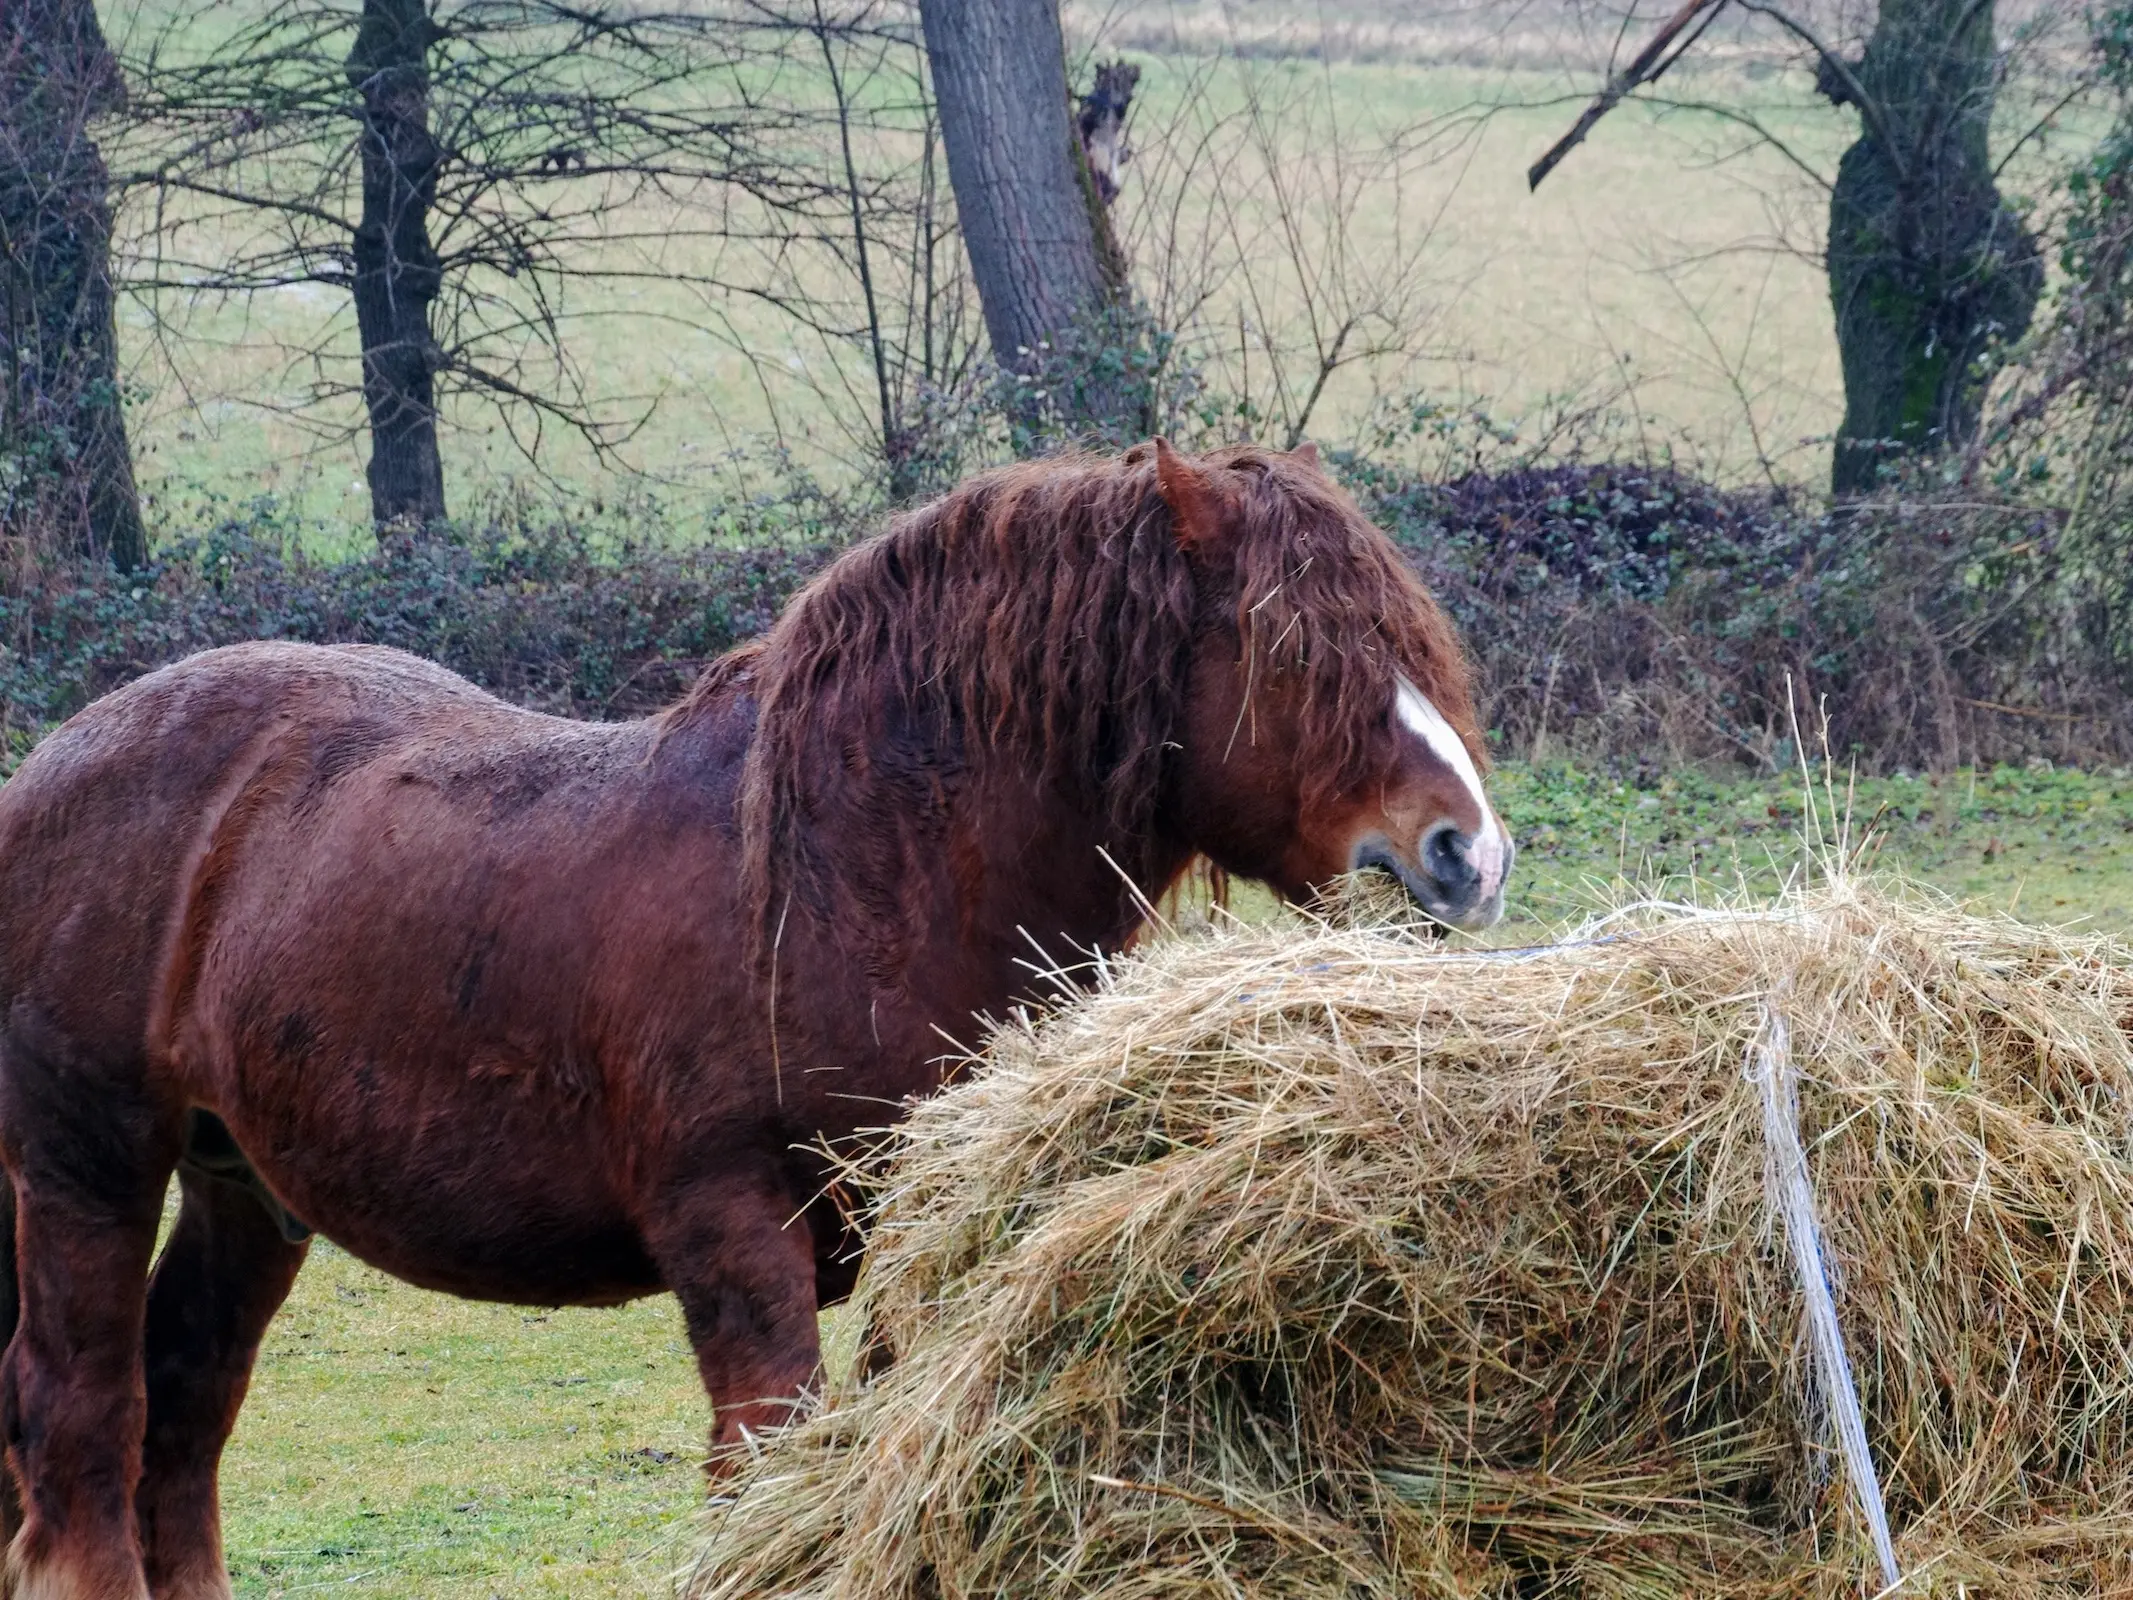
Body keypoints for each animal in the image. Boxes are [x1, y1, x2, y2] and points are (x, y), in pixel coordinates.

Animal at [0, 441, 1510, 1600]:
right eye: (1296, 650)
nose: (1469, 857)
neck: (852, 881)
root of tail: (56, 759)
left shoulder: (912, 1241)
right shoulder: (731, 1229)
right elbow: (764, 1465)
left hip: (244, 1187)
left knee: (183, 1414)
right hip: (88, 1168)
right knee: (84, 1415)